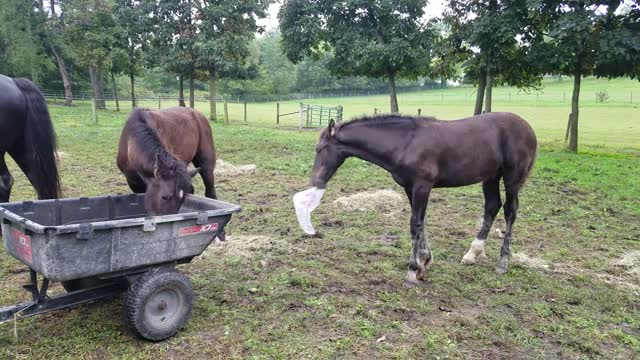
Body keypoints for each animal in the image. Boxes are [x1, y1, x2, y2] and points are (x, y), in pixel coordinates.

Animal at [304, 112, 536, 286]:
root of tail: (528, 127)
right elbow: (420, 222)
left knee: (510, 211)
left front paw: (412, 271)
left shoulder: (422, 186)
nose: (316, 180)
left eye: (319, 149)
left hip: (512, 178)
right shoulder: (410, 187)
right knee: (492, 206)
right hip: (490, 176)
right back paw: (472, 253)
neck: (406, 142)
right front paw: (424, 261)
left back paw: (503, 262)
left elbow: (415, 224)